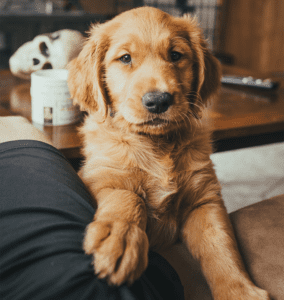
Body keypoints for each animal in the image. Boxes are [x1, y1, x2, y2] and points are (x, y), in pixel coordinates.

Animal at [67, 6, 270, 300]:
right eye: (125, 58)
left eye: (176, 55)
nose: (158, 101)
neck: (157, 145)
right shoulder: (98, 177)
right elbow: (127, 197)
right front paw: (119, 238)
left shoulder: (204, 200)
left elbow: (220, 246)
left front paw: (240, 291)